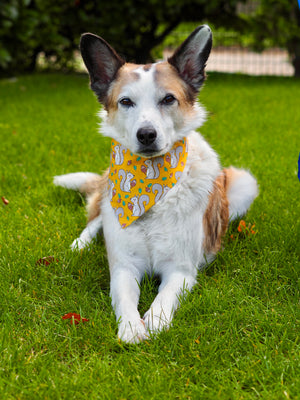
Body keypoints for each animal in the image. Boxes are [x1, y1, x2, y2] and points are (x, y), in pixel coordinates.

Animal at [53, 25, 258, 344]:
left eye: (168, 99)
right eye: (126, 102)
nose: (146, 135)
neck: (148, 186)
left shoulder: (181, 270)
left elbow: (165, 296)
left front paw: (155, 322)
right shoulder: (123, 268)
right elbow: (125, 297)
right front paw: (131, 327)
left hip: (242, 185)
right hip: (106, 201)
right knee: (95, 219)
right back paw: (80, 245)